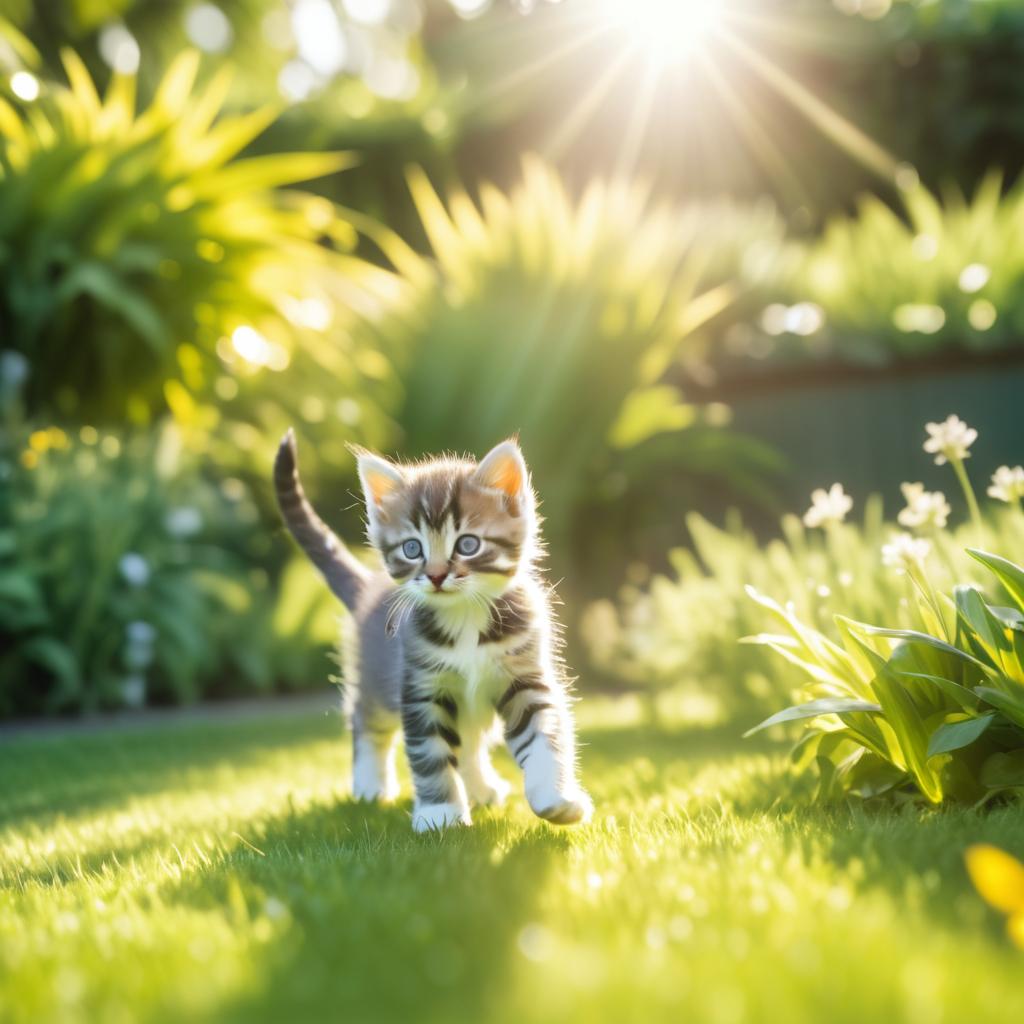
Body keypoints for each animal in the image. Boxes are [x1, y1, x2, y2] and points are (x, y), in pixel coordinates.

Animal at [272, 430, 593, 831]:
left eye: (468, 544)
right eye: (412, 549)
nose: (437, 575)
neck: (465, 616)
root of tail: (368, 588)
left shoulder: (524, 675)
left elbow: (544, 735)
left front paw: (555, 796)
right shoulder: (420, 686)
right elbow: (429, 751)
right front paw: (440, 813)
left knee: (468, 742)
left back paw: (481, 788)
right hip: (377, 682)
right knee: (366, 720)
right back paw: (370, 785)